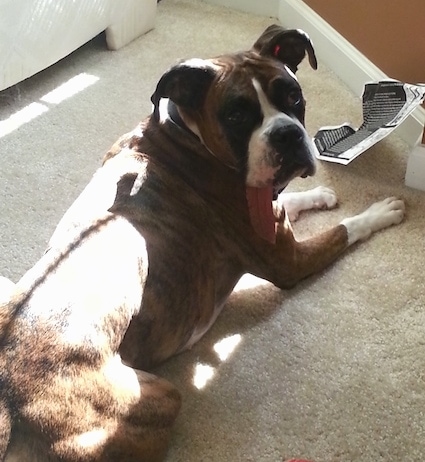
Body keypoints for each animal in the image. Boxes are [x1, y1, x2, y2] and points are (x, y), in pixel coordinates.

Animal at [0, 26, 404, 462]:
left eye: (293, 96)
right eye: (237, 115)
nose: (287, 133)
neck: (186, 137)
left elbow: (294, 201)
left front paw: (320, 195)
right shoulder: (289, 261)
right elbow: (344, 230)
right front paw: (381, 212)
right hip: (157, 400)